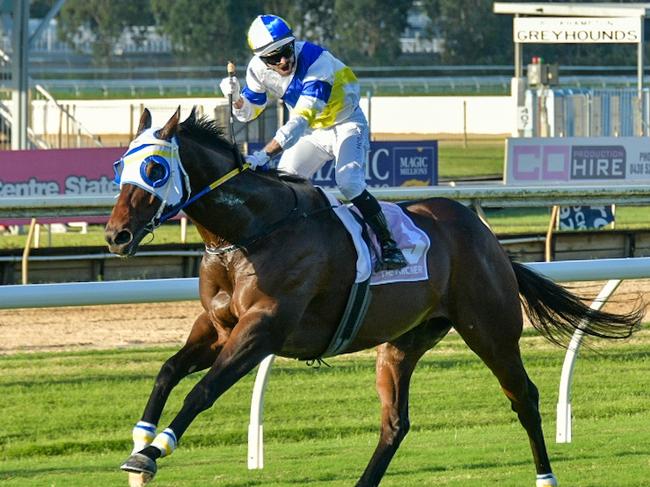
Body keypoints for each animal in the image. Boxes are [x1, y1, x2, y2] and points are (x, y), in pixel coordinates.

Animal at [104, 108, 640, 487]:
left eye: (153, 167)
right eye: (121, 165)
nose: (115, 235)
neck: (250, 233)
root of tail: (485, 235)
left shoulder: (264, 328)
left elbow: (204, 389)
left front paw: (153, 451)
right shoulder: (217, 327)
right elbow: (168, 370)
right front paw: (141, 435)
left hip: (490, 330)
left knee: (523, 396)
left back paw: (546, 476)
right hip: (402, 343)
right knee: (395, 423)